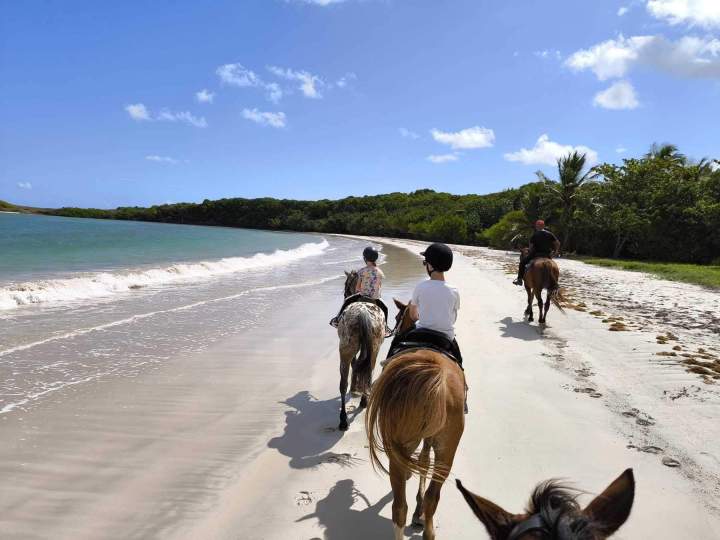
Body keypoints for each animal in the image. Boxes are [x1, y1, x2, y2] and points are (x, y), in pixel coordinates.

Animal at [336, 270, 385, 431]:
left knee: (343, 384)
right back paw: (364, 401)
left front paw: (354, 386)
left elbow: (354, 364)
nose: (345, 293)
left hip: (345, 349)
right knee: (369, 372)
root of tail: (363, 312)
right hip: (374, 348)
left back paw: (343, 420)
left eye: (347, 284)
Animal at [365, 299, 465, 540]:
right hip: (442, 449)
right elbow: (424, 462)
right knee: (422, 499)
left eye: (397, 317)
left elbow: (422, 462)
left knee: (406, 504)